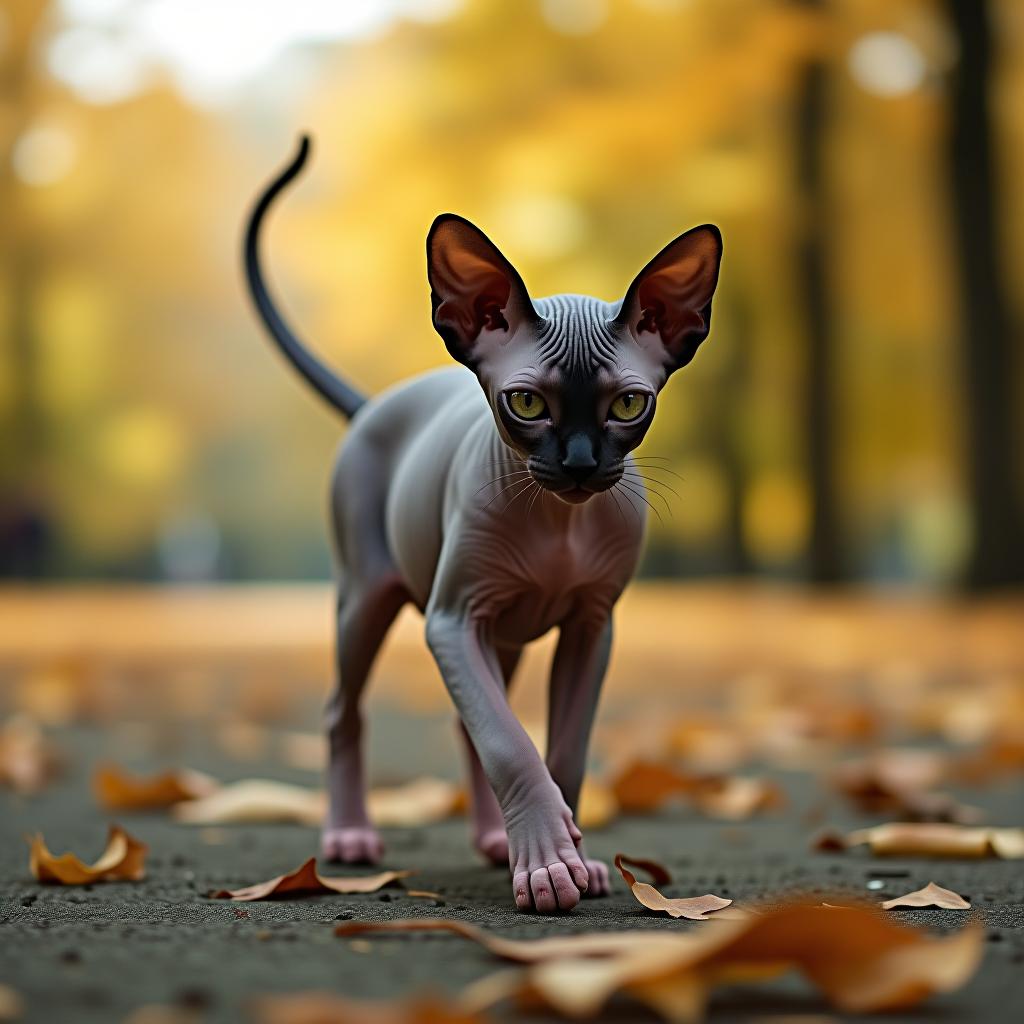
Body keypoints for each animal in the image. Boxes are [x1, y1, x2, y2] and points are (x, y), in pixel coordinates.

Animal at [241, 134, 720, 913]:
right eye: (526, 404)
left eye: (628, 406)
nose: (580, 465)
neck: (559, 523)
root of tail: (377, 403)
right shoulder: (453, 620)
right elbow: (509, 743)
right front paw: (549, 862)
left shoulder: (591, 625)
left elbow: (561, 750)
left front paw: (567, 856)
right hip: (368, 598)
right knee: (345, 710)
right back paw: (349, 836)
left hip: (508, 634)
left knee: (465, 724)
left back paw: (497, 840)